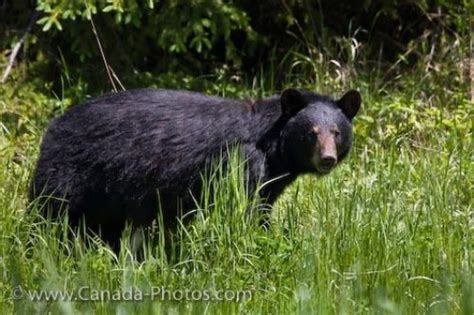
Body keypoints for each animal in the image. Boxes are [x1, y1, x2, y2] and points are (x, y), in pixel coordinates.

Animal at [28, 89, 360, 247]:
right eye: (311, 133)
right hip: (69, 174)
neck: (272, 146)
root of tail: (52, 127)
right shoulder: (242, 161)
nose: (327, 159)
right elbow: (243, 208)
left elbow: (262, 204)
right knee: (47, 215)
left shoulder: (270, 179)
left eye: (336, 132)